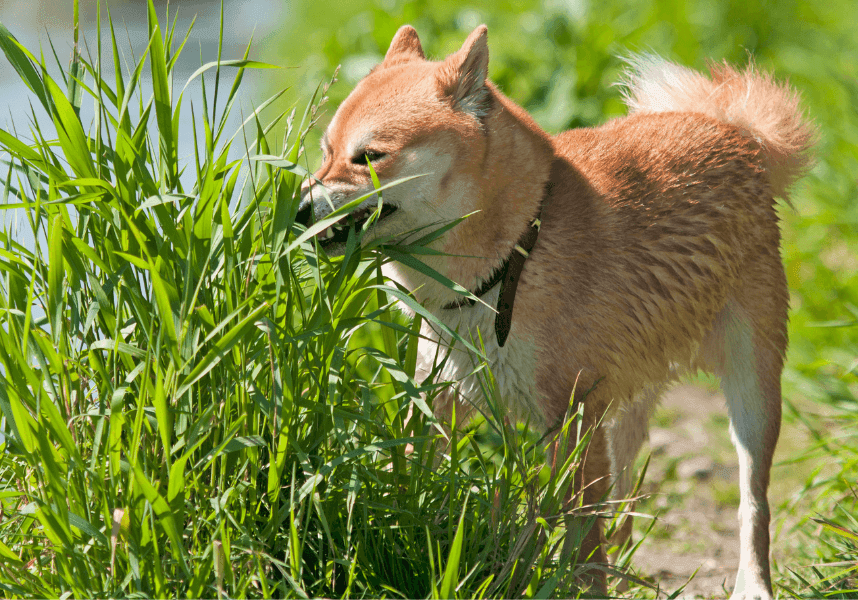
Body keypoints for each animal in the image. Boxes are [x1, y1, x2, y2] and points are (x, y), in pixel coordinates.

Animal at [298, 24, 812, 600]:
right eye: (327, 152)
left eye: (369, 156)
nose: (298, 210)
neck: (513, 257)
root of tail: (734, 132)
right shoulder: (442, 397)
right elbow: (411, 479)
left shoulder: (570, 416)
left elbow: (580, 539)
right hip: (627, 400)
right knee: (625, 495)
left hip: (751, 393)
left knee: (753, 503)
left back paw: (753, 582)